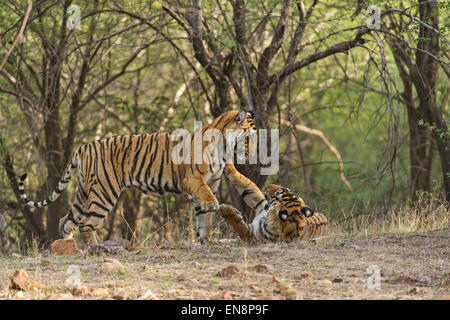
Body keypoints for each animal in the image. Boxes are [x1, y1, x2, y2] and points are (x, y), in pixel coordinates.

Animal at [18, 110, 268, 245]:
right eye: (250, 137)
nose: (257, 151)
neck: (224, 145)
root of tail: (84, 146)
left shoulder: (224, 175)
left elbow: (212, 212)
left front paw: (207, 241)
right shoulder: (193, 179)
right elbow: (208, 201)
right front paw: (214, 208)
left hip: (83, 192)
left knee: (66, 221)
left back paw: (69, 245)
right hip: (104, 193)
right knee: (86, 223)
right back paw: (94, 248)